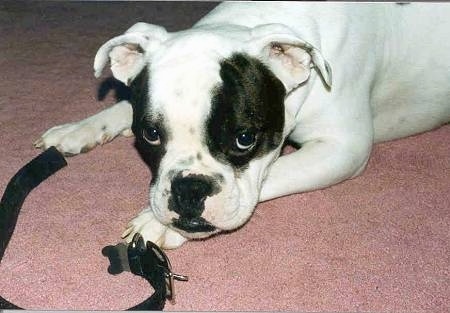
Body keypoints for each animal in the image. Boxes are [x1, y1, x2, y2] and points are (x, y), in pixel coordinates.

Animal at [34, 1, 450, 246]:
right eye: (151, 134)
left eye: (245, 139)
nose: (189, 192)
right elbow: (122, 105)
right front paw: (80, 128)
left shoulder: (342, 148)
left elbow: (274, 172)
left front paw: (159, 225)